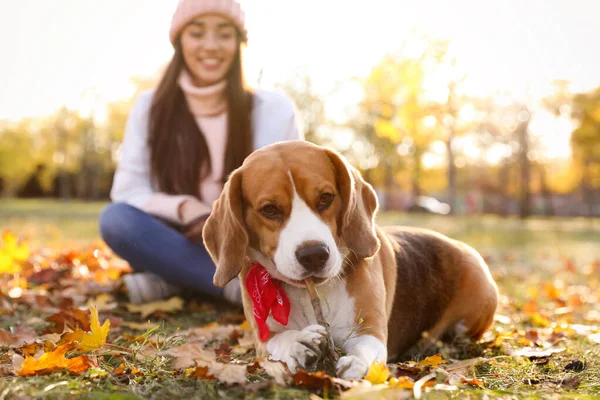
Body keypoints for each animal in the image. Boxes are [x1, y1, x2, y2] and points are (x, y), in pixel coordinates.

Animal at [202, 141, 496, 378]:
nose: (314, 254)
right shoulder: (263, 338)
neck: (311, 292)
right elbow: (281, 340)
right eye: (270, 210)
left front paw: (357, 362)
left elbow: (367, 349)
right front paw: (298, 344)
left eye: (325, 198)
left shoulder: (371, 332)